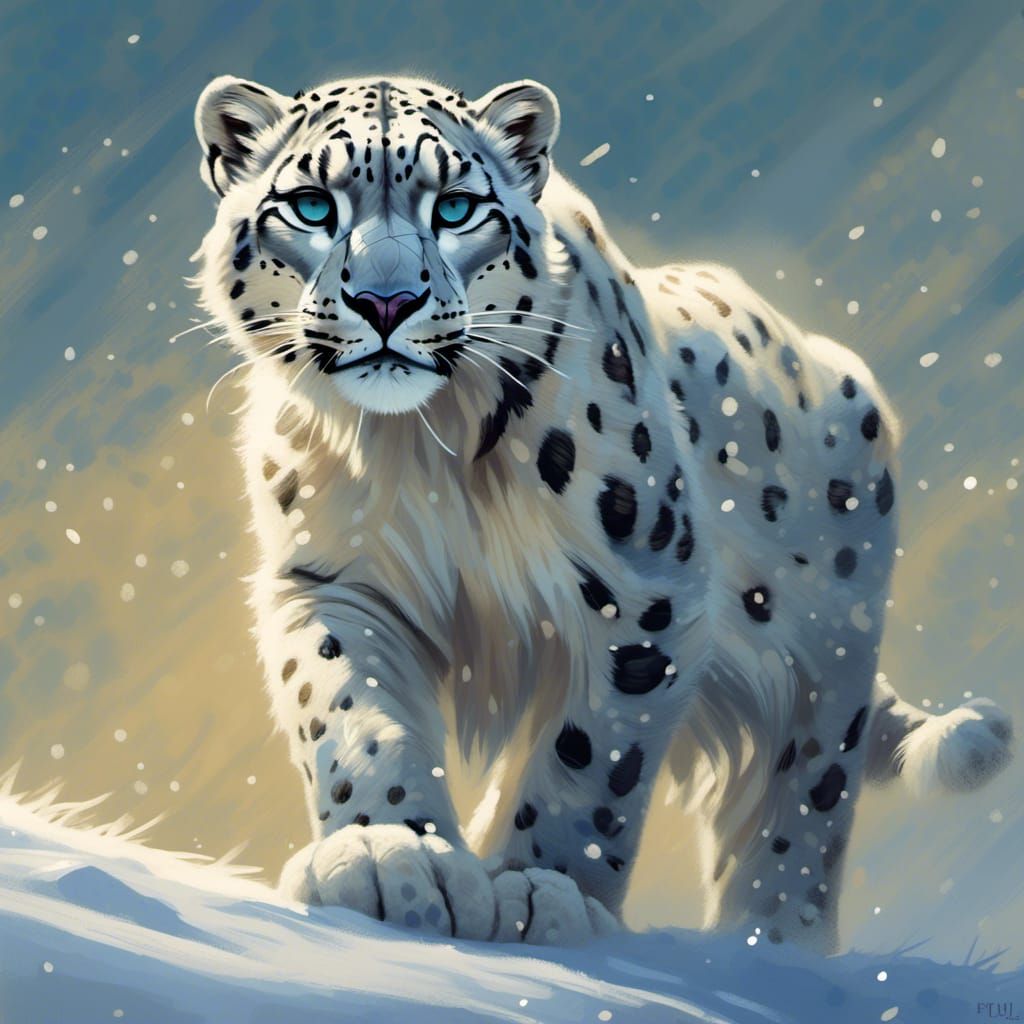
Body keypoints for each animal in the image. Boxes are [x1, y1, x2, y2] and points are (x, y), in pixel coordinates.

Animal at [192, 73, 1013, 950]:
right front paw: (393, 860)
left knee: (801, 805)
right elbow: (351, 710)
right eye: (312, 205)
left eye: (456, 208)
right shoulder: (334, 580)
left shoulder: (645, 592)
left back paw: (769, 944)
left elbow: (591, 764)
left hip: (828, 659)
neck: (423, 446)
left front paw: (542, 893)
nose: (388, 301)